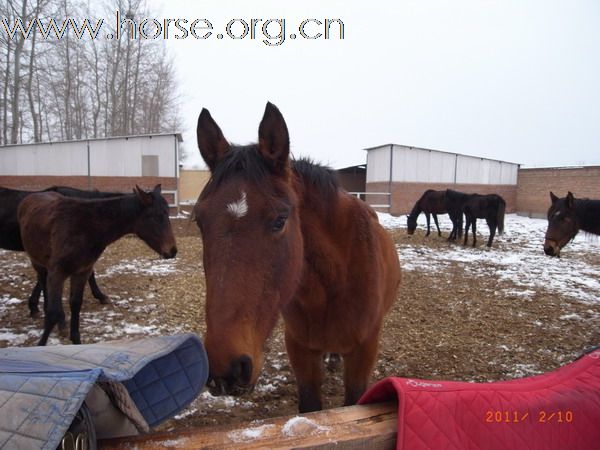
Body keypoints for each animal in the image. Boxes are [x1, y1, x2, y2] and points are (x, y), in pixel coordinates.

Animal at [17, 185, 177, 346]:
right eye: (155, 216)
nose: (172, 251)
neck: (84, 229)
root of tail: (30, 197)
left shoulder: (82, 272)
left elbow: (75, 304)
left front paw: (76, 339)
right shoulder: (57, 273)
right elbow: (52, 313)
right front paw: (41, 344)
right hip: (37, 262)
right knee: (44, 286)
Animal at [195, 103, 400, 414]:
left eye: (280, 220)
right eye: (199, 220)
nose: (226, 368)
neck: (335, 281)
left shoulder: (364, 352)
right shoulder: (301, 349)